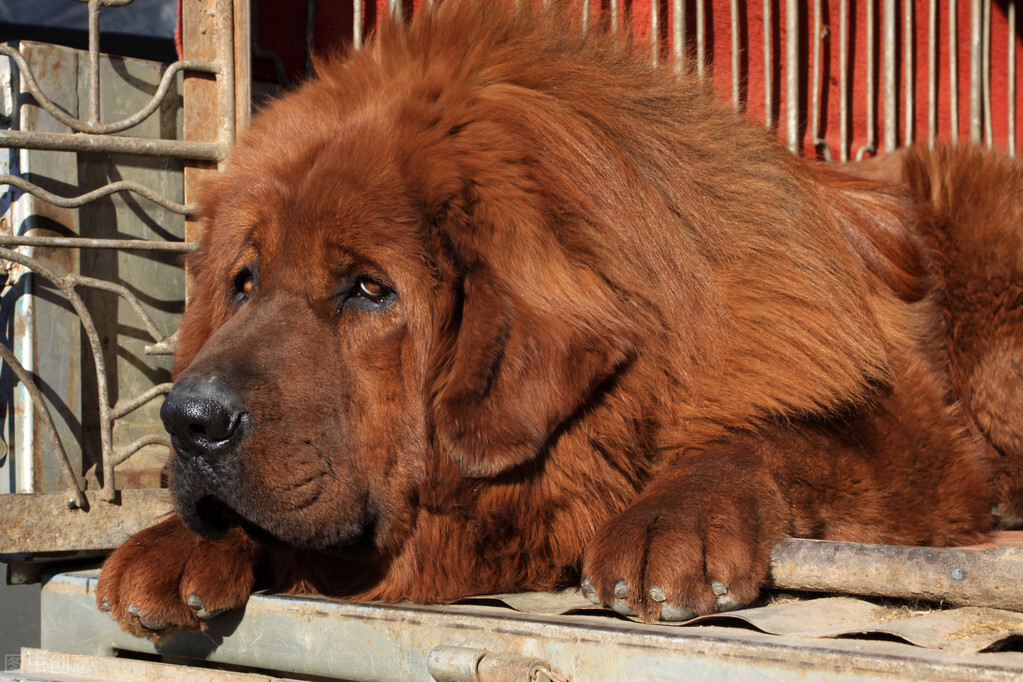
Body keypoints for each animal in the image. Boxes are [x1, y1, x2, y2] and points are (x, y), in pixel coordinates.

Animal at [97, 1, 1023, 642]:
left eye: (367, 288)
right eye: (244, 282)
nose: (188, 419)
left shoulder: (916, 446)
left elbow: (775, 433)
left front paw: (669, 520)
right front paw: (174, 541)